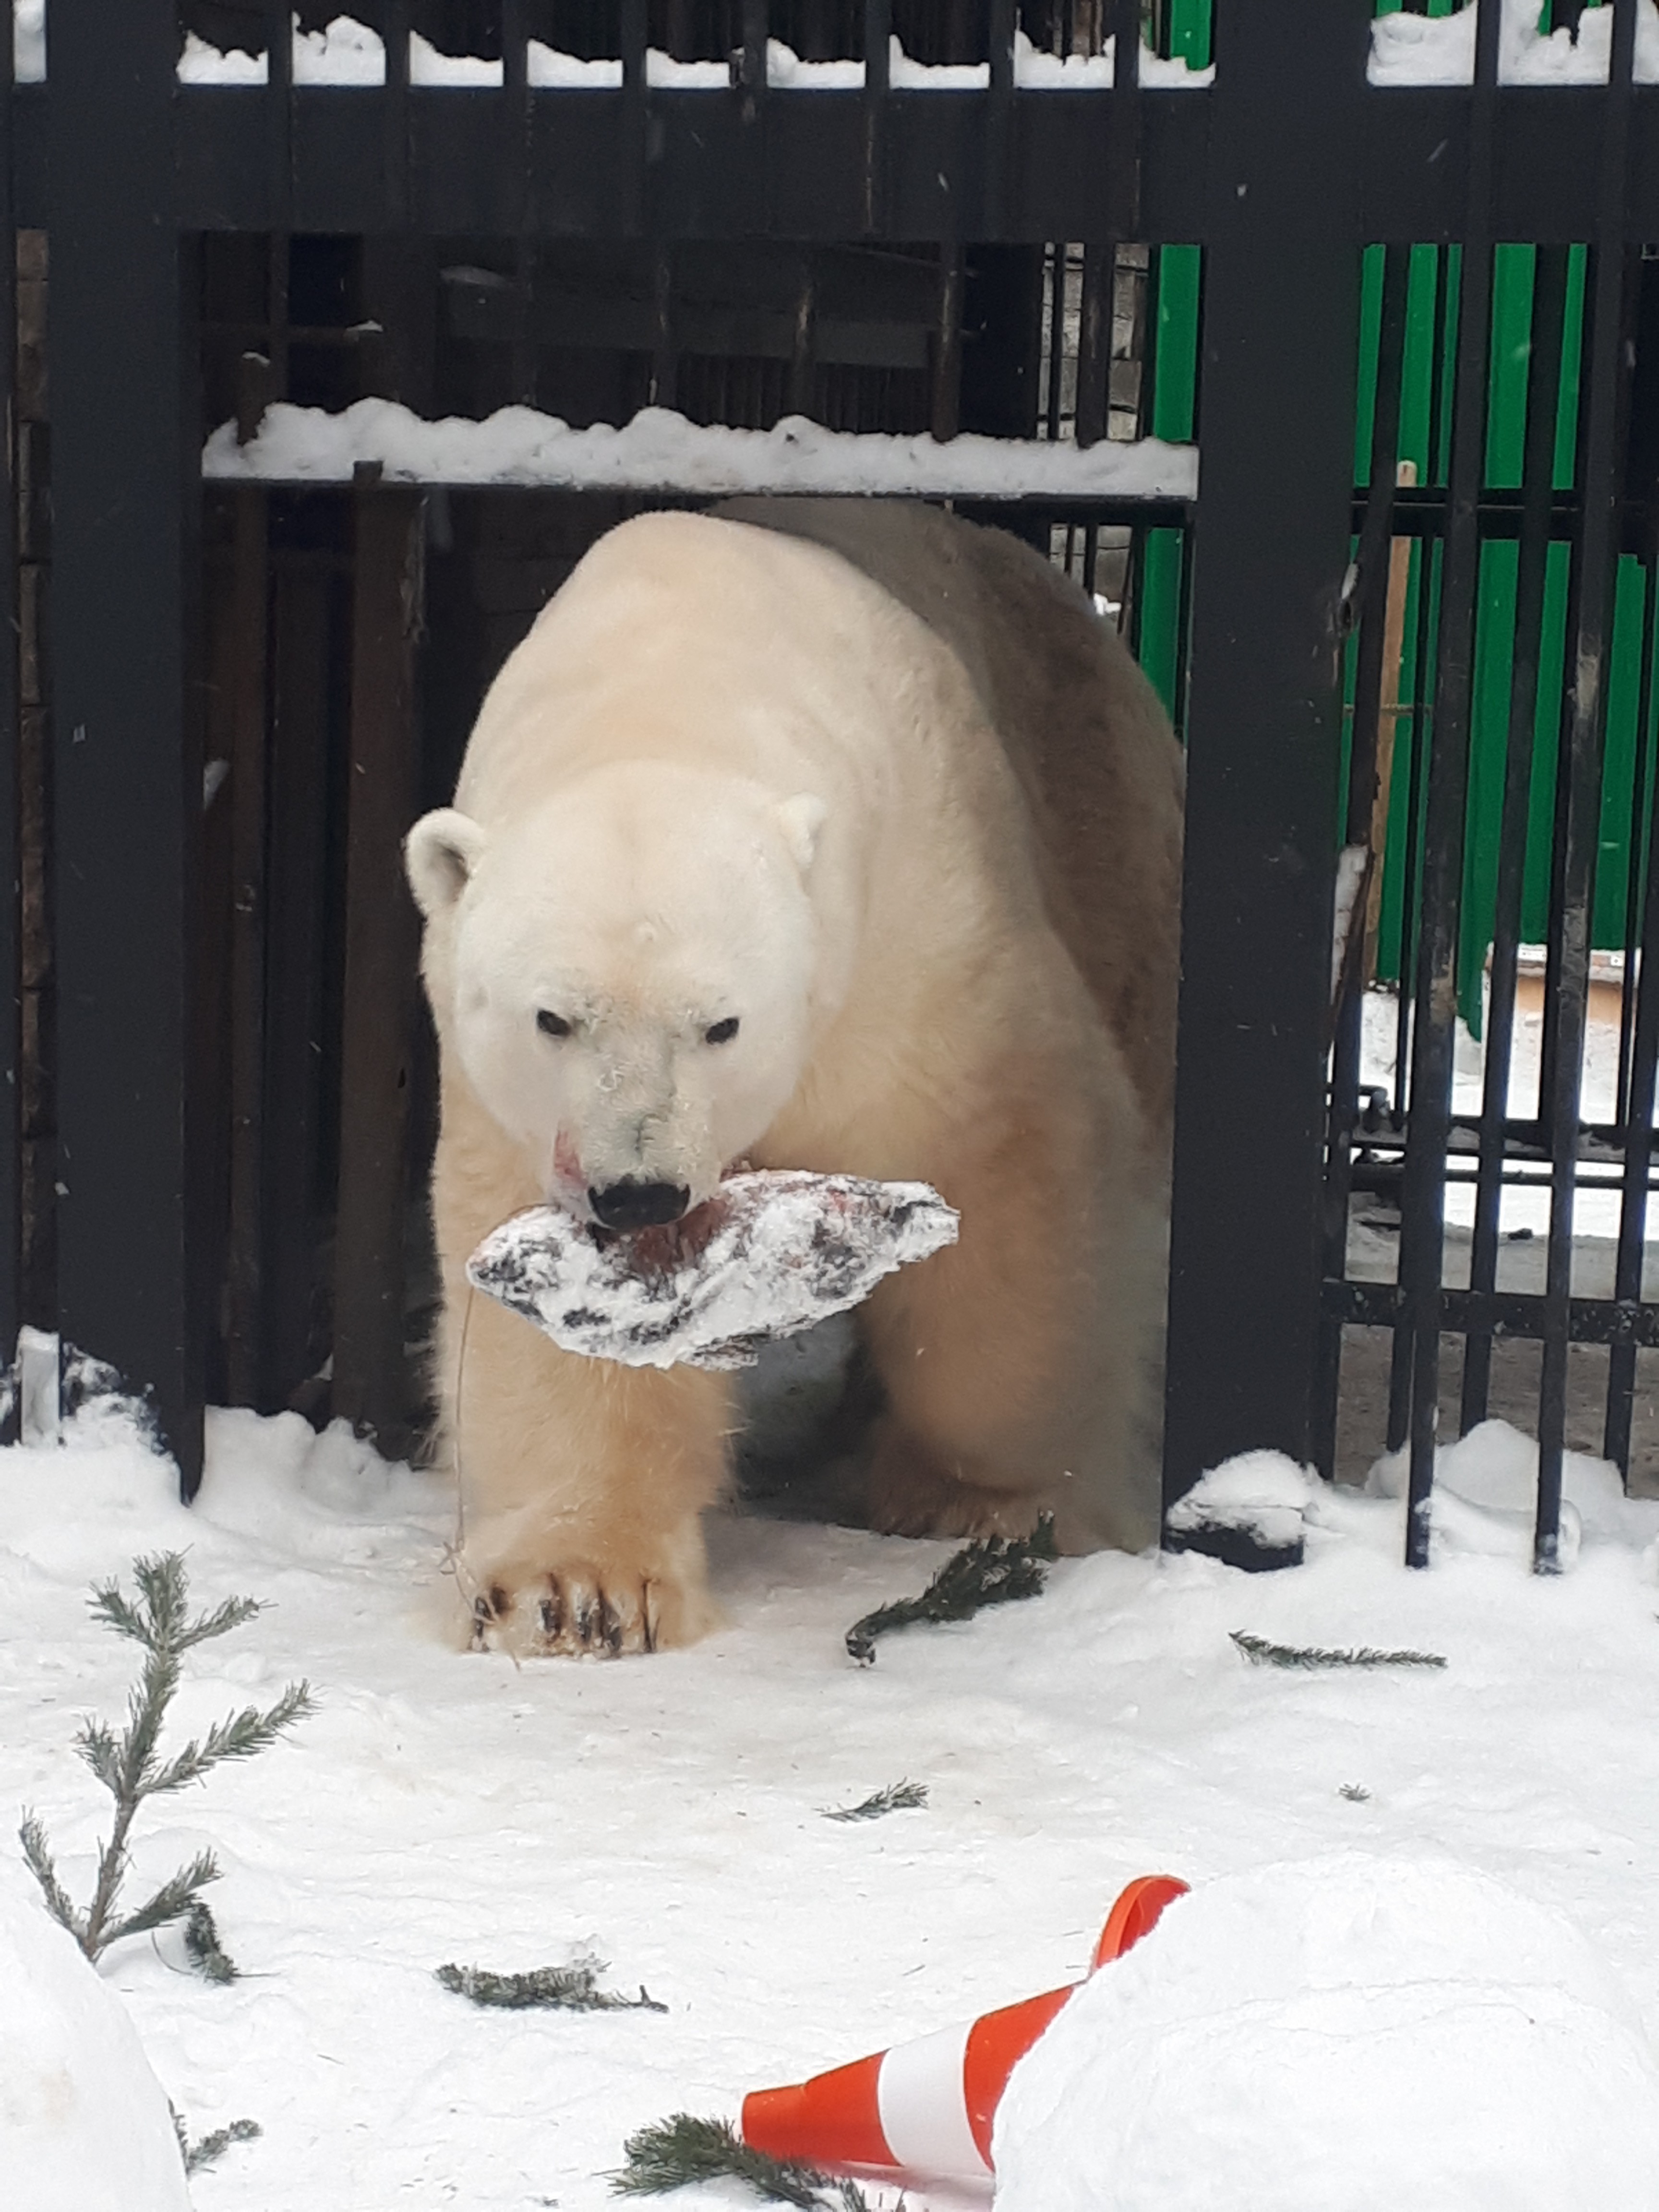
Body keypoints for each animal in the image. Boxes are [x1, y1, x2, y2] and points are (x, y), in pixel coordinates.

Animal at [402, 493, 1185, 1654]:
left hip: (1110, 826)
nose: (639, 1192)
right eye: (554, 1017)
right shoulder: (505, 1094)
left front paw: (979, 1497)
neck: (665, 694)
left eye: (723, 1023)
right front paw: (577, 1590)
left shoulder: (920, 948)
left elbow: (1011, 1181)